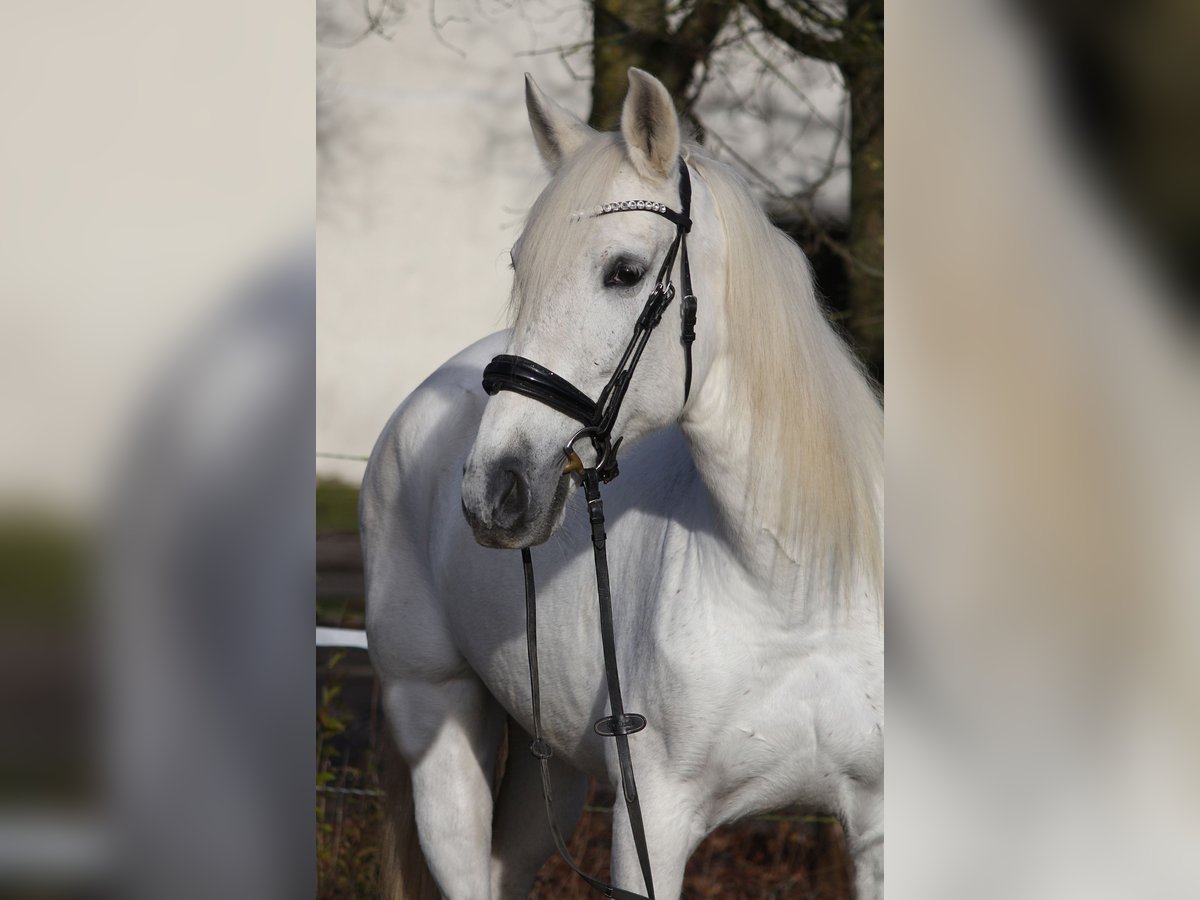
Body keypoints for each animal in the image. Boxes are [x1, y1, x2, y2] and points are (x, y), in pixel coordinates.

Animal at [360, 66, 888, 897]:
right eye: (519, 266)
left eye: (625, 272)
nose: (494, 490)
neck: (796, 590)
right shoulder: (653, 824)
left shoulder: (878, 829)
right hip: (436, 716)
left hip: (550, 762)